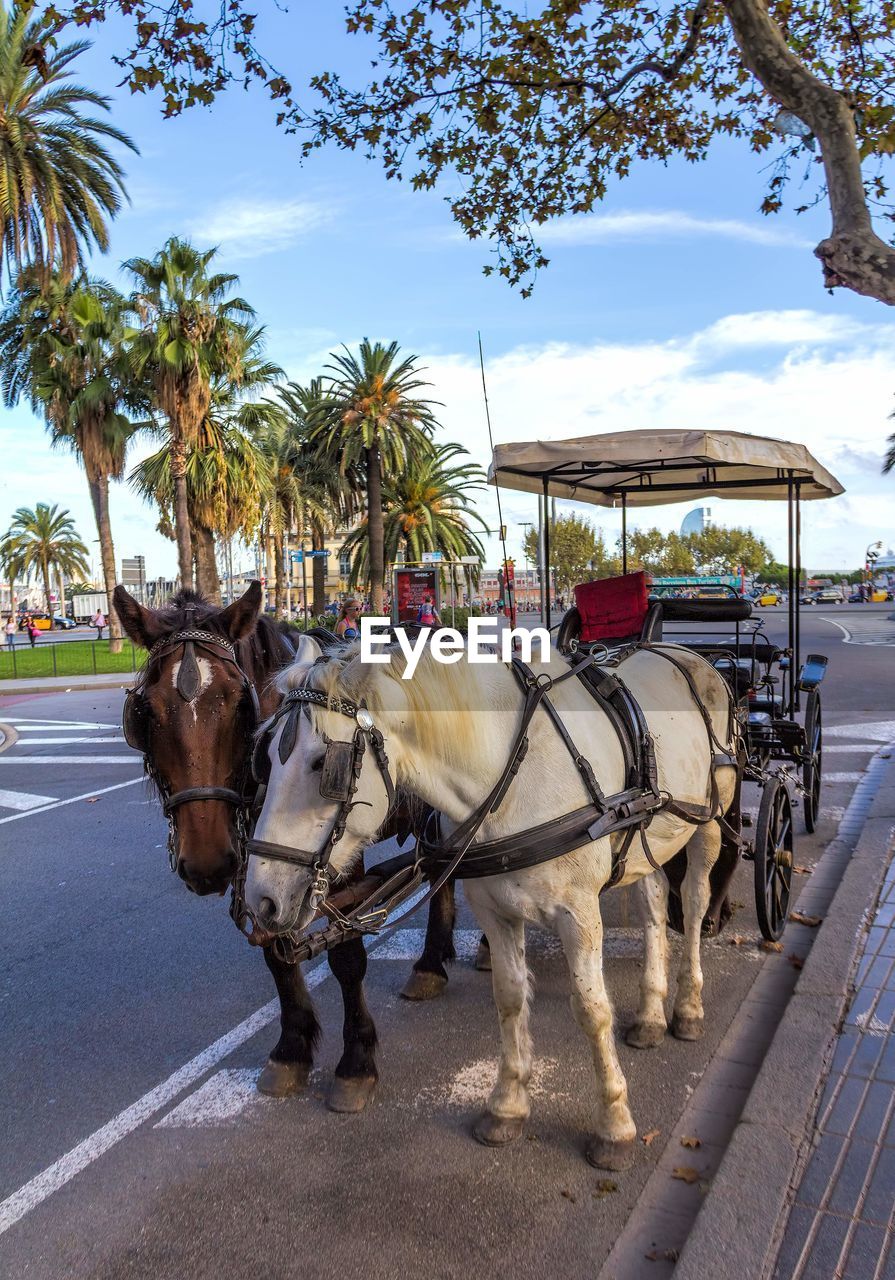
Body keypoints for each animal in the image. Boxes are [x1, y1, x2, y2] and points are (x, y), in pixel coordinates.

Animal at [244, 634, 737, 1167]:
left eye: (323, 764)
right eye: (264, 758)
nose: (261, 900)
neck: (514, 776)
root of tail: (683, 651)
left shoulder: (579, 914)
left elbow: (592, 1009)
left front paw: (614, 1125)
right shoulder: (493, 910)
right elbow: (509, 997)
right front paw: (507, 1106)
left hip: (707, 821)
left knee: (692, 903)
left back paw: (687, 1006)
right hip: (645, 834)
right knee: (653, 903)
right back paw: (649, 1012)